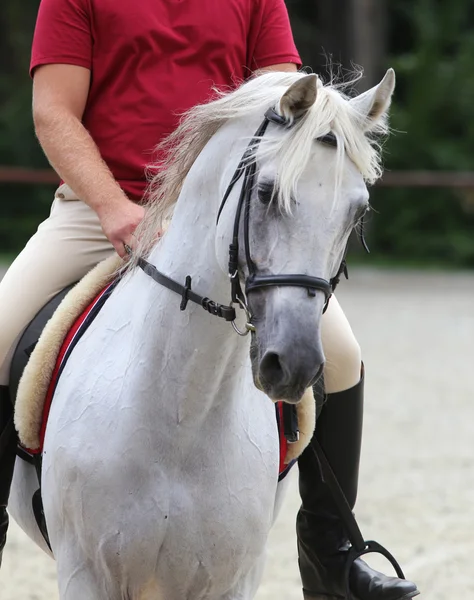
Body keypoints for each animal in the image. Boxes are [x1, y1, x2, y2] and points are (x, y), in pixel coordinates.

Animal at [9, 71, 394, 600]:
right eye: (266, 192)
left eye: (357, 212)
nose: (294, 363)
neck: (182, 415)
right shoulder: (86, 574)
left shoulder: (231, 580)